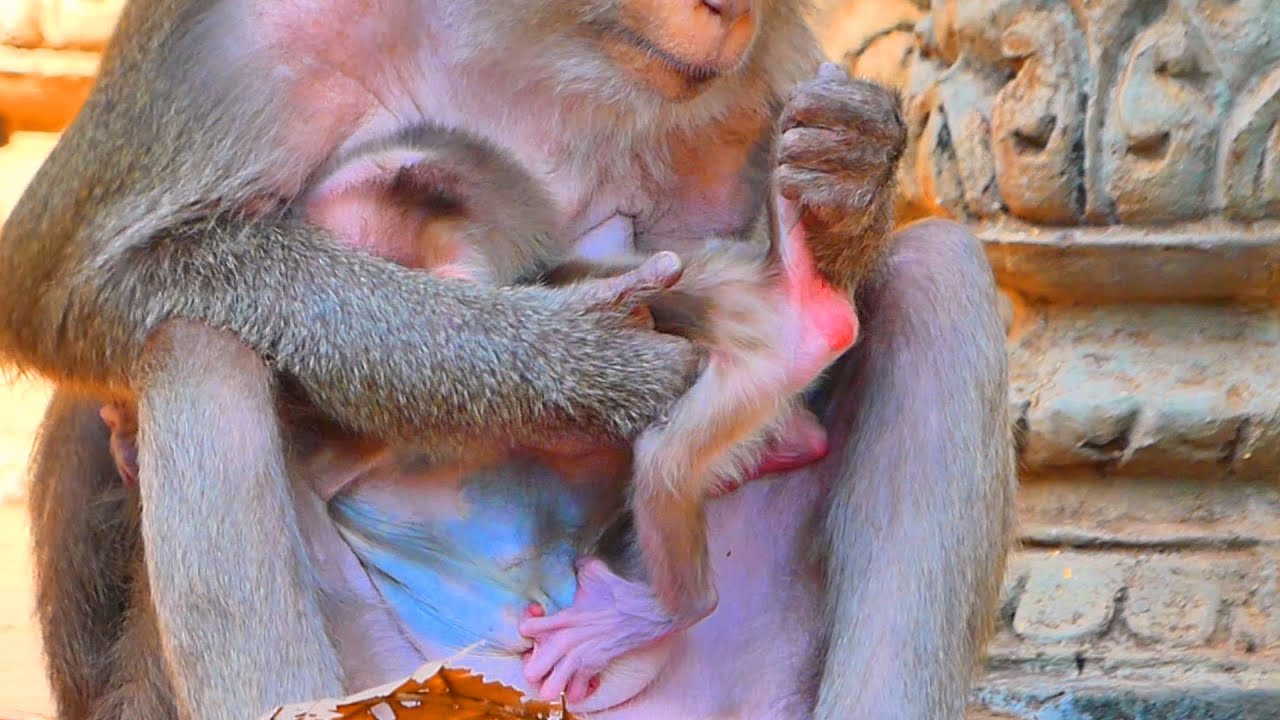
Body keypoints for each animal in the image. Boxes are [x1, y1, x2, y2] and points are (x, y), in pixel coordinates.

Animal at [3, 1, 1017, 719]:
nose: (725, 5)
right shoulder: (238, 35)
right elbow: (77, 284)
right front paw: (563, 364)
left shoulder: (746, 69)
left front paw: (850, 173)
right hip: (399, 679)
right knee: (198, 346)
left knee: (937, 275)